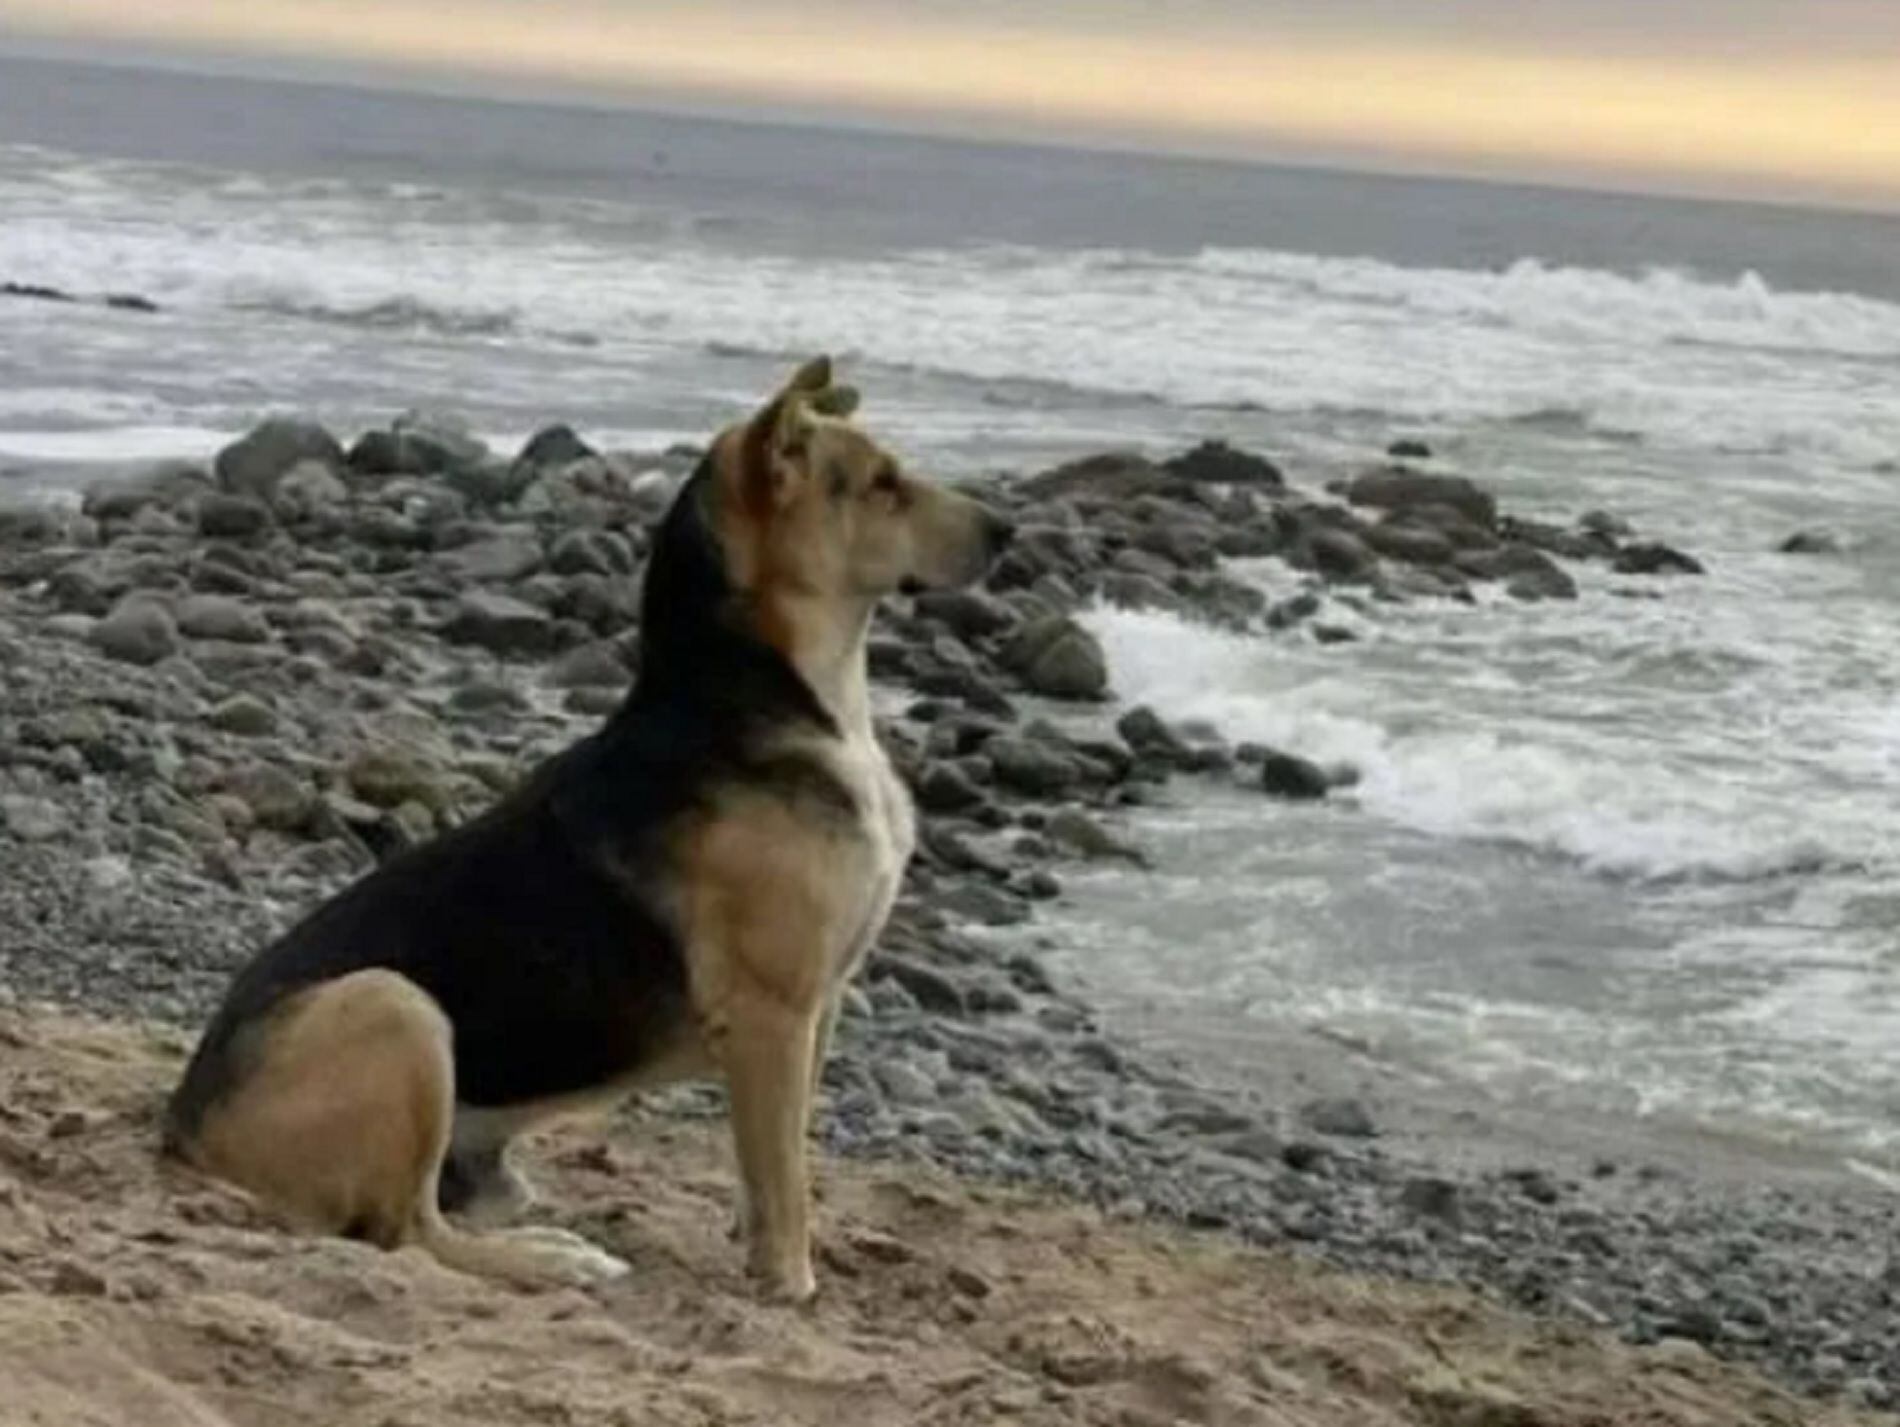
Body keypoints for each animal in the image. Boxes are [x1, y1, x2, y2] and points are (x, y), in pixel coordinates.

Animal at [161, 359, 1018, 1307]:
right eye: (882, 485)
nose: (1009, 531)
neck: (772, 695)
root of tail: (184, 1123)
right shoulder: (773, 1013)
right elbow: (786, 1176)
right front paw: (791, 1282)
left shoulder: (814, 1008)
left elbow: (769, 1161)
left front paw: (753, 1241)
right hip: (397, 1004)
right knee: (409, 1233)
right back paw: (553, 1258)